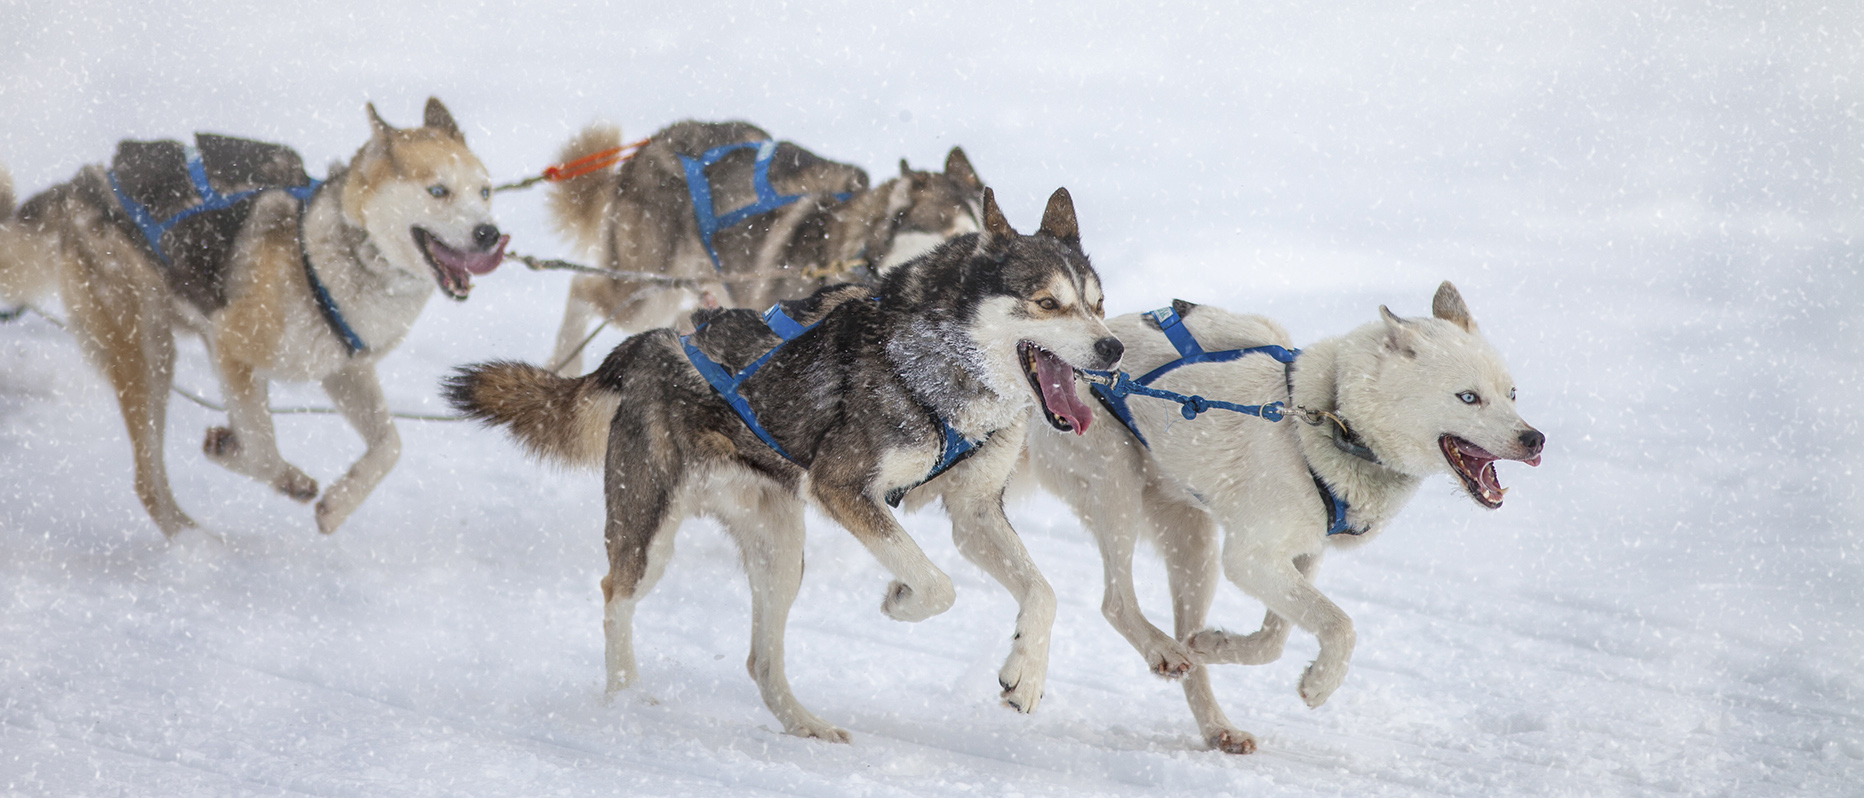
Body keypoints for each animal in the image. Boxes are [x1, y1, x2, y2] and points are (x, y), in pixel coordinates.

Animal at [0, 98, 507, 536]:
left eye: (485, 191)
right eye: (438, 191)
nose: (489, 233)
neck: (331, 254)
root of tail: (79, 187)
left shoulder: (343, 370)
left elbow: (390, 445)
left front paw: (339, 504)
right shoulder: (232, 349)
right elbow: (262, 446)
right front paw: (255, 462)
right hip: (148, 355)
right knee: (148, 483)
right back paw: (197, 547)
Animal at [447, 187, 1118, 742]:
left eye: (1097, 303)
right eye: (1047, 302)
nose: (1112, 347)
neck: (944, 366)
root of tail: (651, 345)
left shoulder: (974, 510)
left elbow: (1043, 592)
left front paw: (1025, 673)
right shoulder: (843, 487)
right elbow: (937, 584)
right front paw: (901, 600)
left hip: (781, 551)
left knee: (761, 659)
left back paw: (804, 724)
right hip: (649, 530)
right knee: (617, 594)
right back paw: (624, 700)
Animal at [1021, 285, 1543, 753]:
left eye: (1513, 393)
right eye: (1468, 397)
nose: (1535, 439)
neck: (1331, 420)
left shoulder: (1301, 555)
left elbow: (1275, 638)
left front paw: (1218, 645)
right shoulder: (1249, 559)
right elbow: (1340, 624)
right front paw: (1321, 683)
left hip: (1195, 547)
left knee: (1183, 636)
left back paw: (1215, 718)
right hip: (1118, 481)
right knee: (1115, 603)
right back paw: (1163, 652)